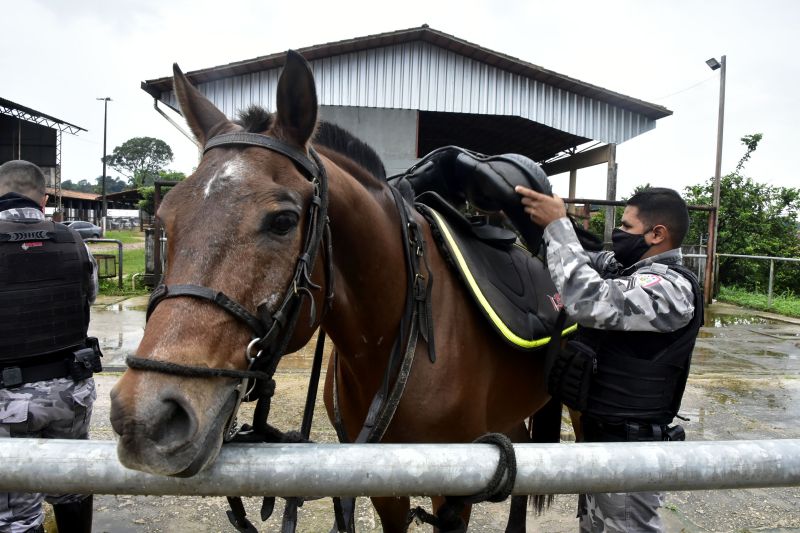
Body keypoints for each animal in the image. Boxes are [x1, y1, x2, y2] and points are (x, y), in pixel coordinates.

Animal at [111, 51, 564, 532]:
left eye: (284, 221)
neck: (394, 345)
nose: (147, 417)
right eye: (165, 218)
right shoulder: (385, 484)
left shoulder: (458, 491)